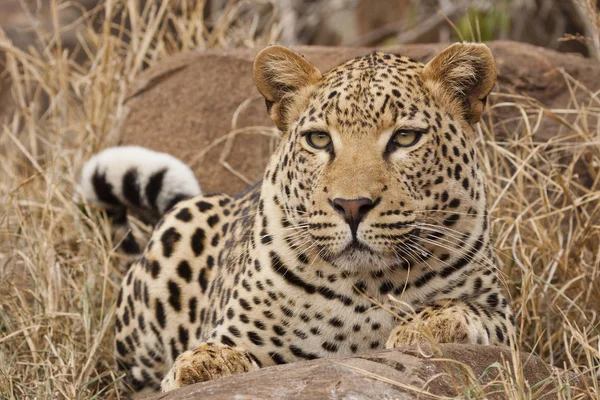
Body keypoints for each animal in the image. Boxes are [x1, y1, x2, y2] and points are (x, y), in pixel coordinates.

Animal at [82, 43, 516, 394]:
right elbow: (218, 350)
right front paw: (201, 365)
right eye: (319, 139)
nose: (352, 206)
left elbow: (463, 309)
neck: (368, 286)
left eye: (405, 137)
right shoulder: (241, 332)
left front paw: (422, 328)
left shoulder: (506, 323)